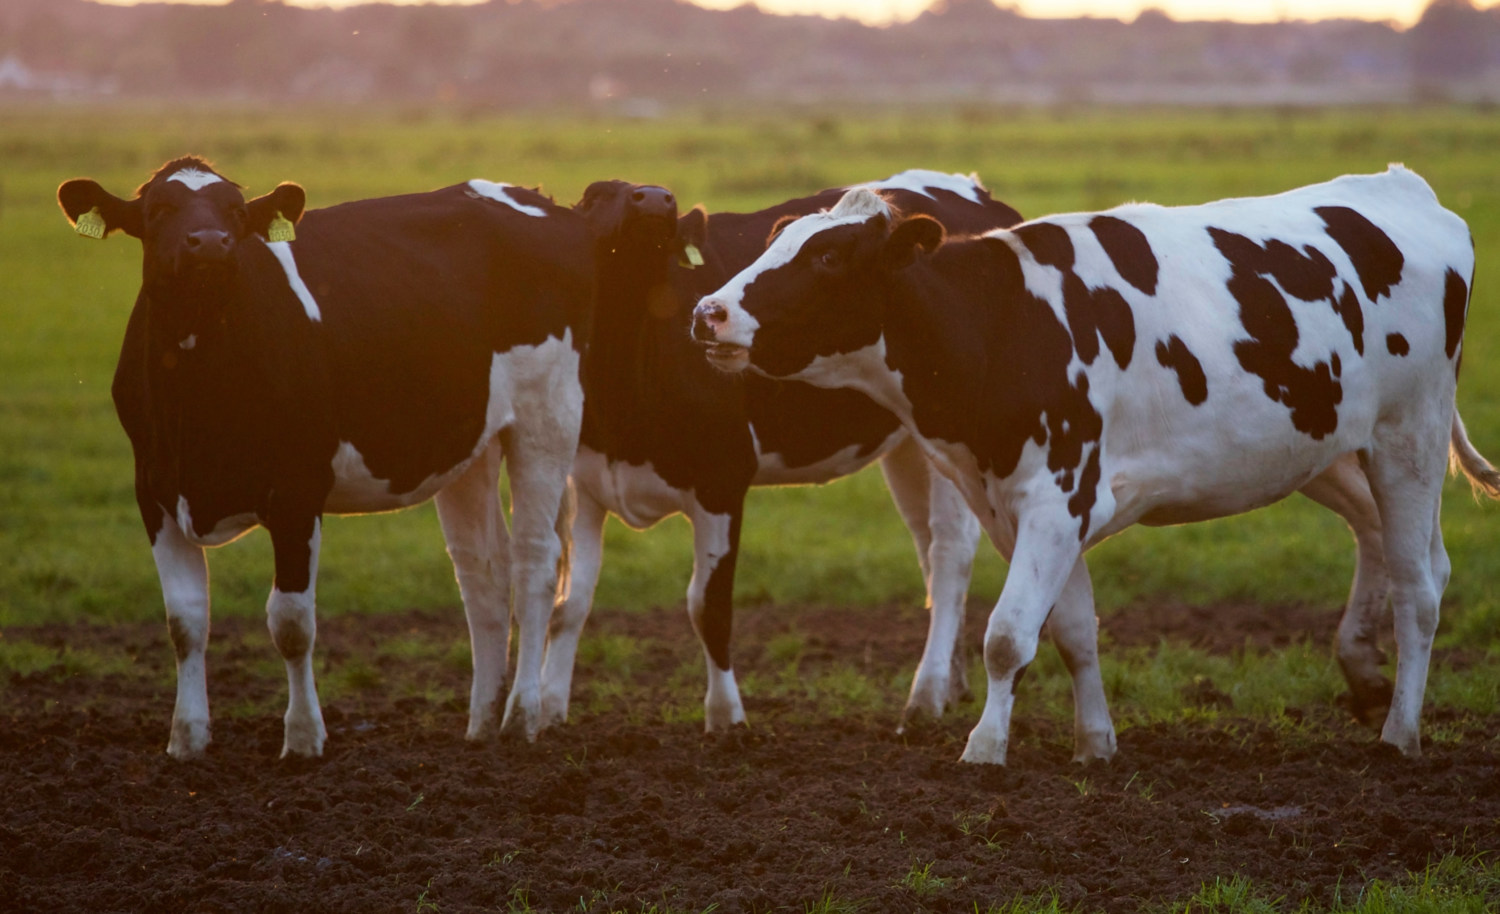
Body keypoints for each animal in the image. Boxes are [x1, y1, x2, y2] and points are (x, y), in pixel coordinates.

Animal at [63, 156, 591, 756]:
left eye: (236, 212)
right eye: (159, 211)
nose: (211, 244)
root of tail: (534, 197)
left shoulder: (297, 492)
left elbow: (291, 623)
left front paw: (302, 738)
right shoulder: (154, 491)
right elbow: (185, 621)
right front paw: (187, 738)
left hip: (547, 415)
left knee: (535, 562)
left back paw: (521, 715)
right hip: (470, 443)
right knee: (483, 572)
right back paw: (480, 722)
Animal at [540, 169, 1020, 726]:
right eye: (595, 196)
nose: (656, 199)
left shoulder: (722, 478)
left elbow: (709, 606)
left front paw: (726, 718)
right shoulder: (586, 482)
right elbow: (568, 604)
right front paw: (545, 712)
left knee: (948, 555)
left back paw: (927, 694)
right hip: (910, 445)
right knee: (927, 550)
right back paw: (953, 683)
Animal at [693, 165, 1500, 762]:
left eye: (828, 256)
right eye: (776, 240)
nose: (708, 312)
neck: (1002, 325)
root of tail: (1404, 188)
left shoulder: (1057, 498)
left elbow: (1007, 635)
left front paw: (984, 750)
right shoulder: (1028, 508)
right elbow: (1071, 632)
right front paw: (1095, 744)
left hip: (1409, 435)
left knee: (1420, 587)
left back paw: (1400, 734)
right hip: (1325, 446)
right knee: (1398, 547)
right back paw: (1367, 679)